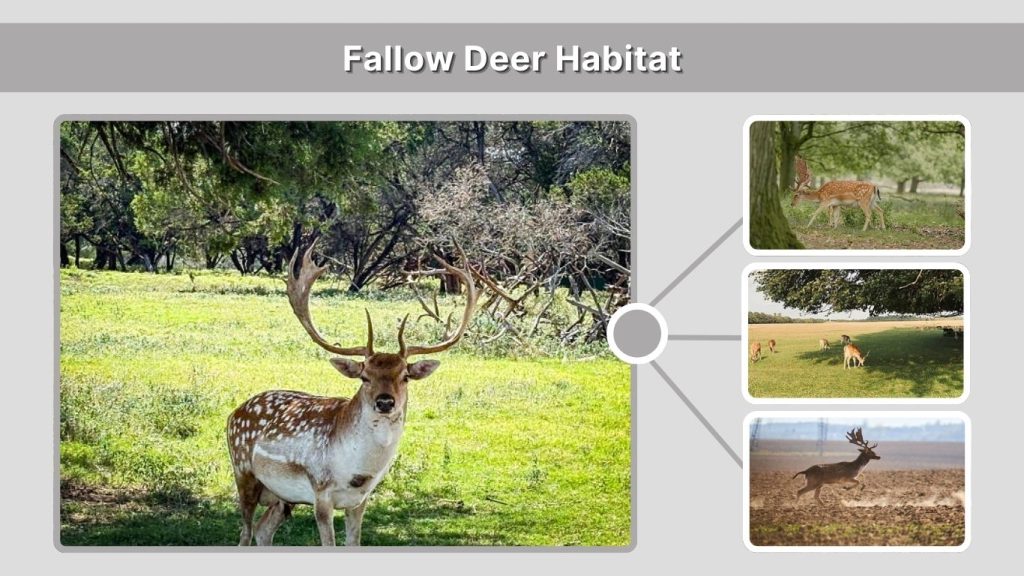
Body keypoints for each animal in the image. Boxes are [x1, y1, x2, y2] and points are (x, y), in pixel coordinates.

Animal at [226, 242, 478, 546]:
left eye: (405, 376)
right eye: (364, 376)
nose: (385, 401)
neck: (358, 472)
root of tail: (233, 414)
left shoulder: (360, 500)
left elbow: (354, 542)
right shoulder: (321, 492)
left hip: (282, 497)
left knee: (263, 531)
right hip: (243, 471)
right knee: (245, 532)